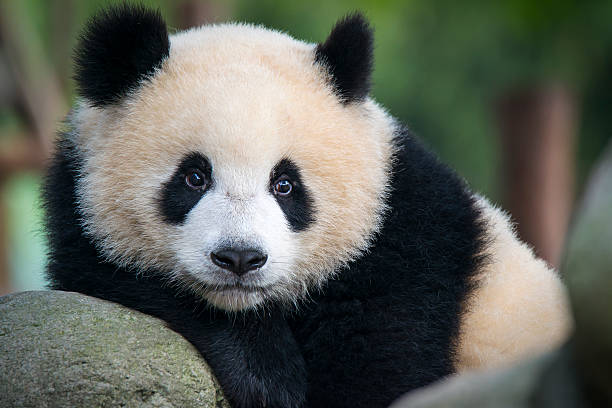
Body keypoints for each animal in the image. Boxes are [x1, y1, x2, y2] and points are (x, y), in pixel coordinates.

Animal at [44, 3, 572, 408]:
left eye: (285, 184)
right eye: (194, 177)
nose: (240, 258)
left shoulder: (407, 254)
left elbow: (375, 378)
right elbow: (108, 270)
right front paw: (266, 372)